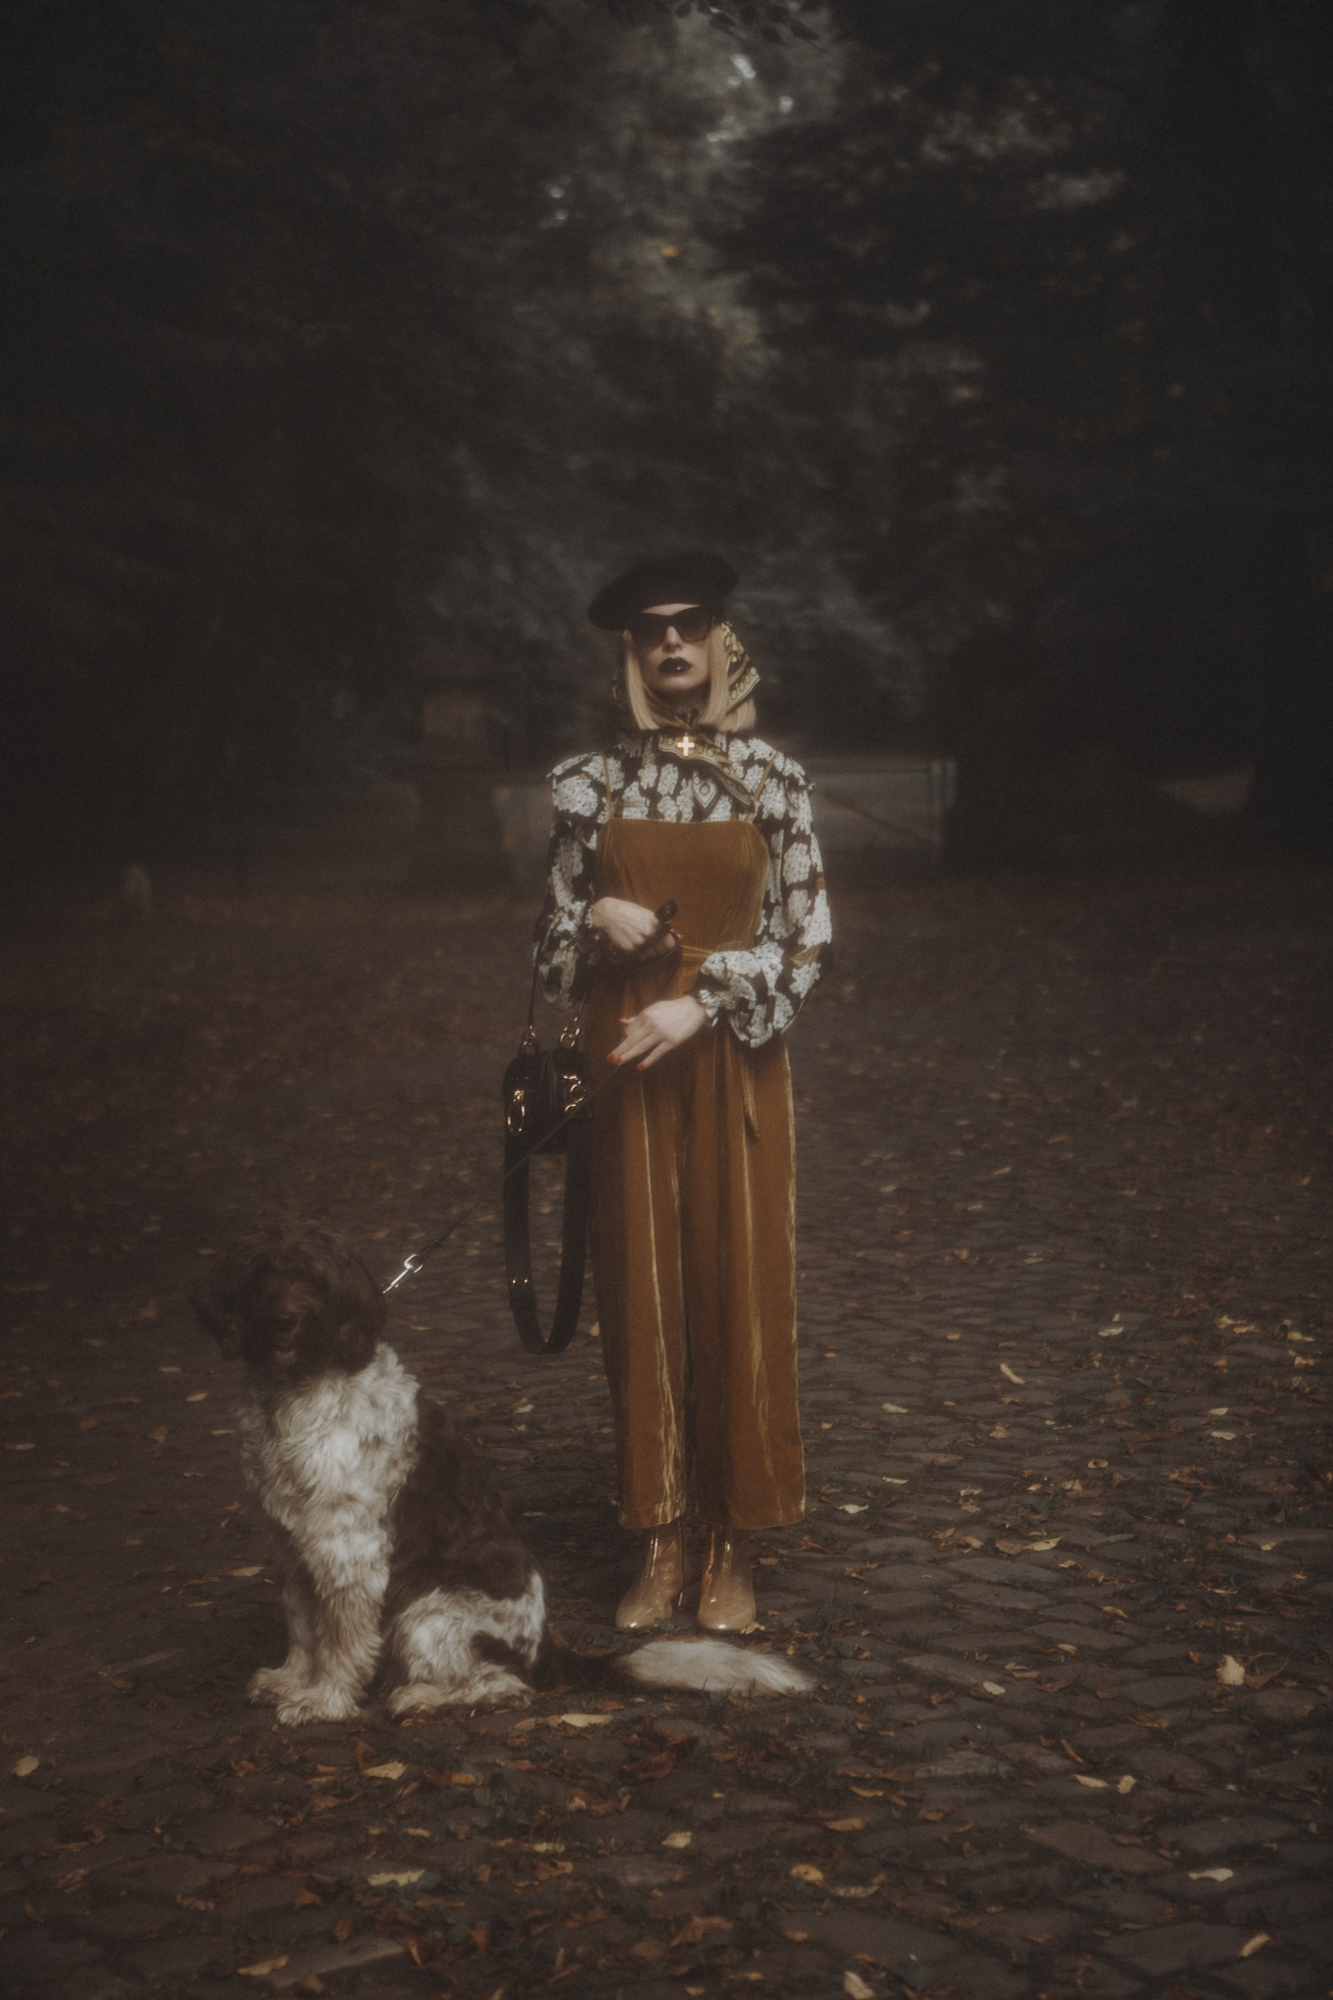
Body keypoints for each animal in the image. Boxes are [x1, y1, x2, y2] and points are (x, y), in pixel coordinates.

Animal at [193, 1223, 812, 1725]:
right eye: (260, 1276)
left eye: (315, 1280)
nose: (283, 1320)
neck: (297, 1389)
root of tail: (546, 1652)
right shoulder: (293, 1547)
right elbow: (304, 1627)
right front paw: (291, 1680)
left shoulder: (348, 1554)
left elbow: (340, 1641)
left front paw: (324, 1700)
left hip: (425, 1611)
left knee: (504, 1687)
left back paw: (420, 1697)